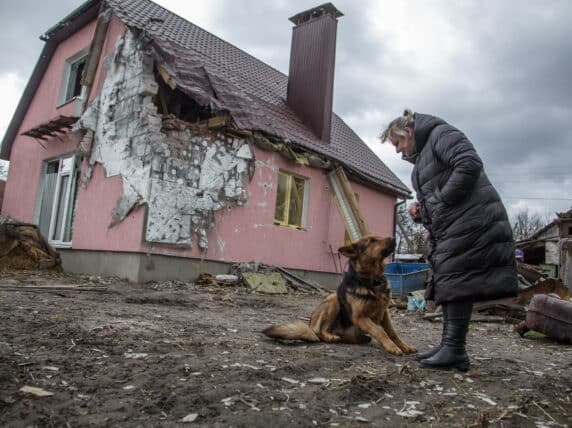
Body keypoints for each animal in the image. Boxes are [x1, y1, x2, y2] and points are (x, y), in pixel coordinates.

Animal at [262, 236, 416, 356]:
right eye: (372, 241)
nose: (394, 238)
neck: (372, 280)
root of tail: (310, 326)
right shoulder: (360, 317)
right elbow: (380, 331)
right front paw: (391, 347)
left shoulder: (384, 313)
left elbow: (392, 332)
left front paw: (403, 345)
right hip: (333, 299)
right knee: (320, 331)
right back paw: (330, 337)